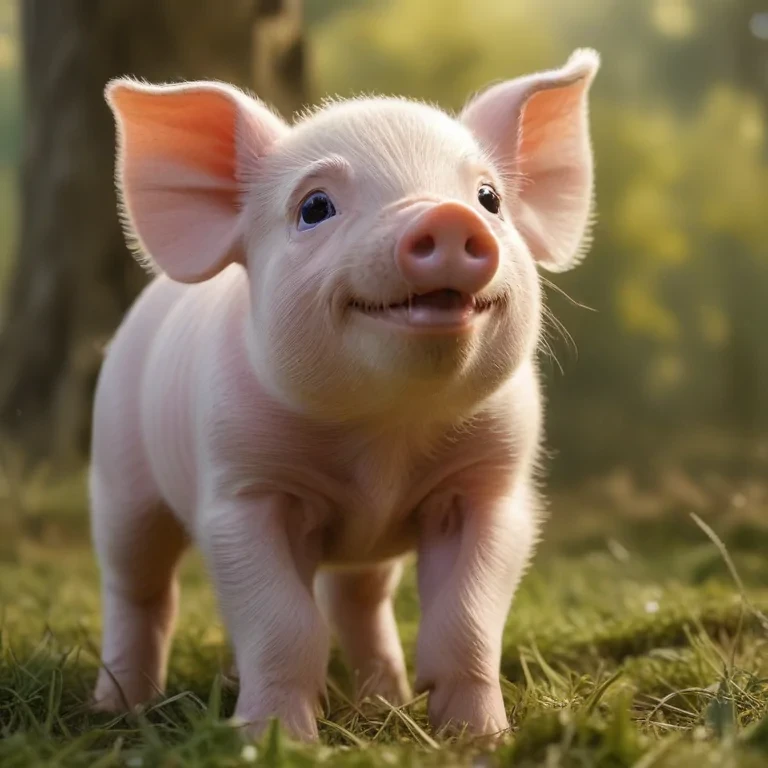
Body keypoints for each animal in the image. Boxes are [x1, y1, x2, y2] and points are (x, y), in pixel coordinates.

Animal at [89, 48, 600, 742]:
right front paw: (274, 743)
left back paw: (382, 705)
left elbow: (465, 623)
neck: (382, 437)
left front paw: (481, 739)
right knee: (139, 590)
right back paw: (118, 709)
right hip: (120, 478)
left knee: (357, 598)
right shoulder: (242, 494)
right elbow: (283, 626)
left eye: (489, 197)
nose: (447, 216)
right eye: (315, 207)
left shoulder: (492, 488)